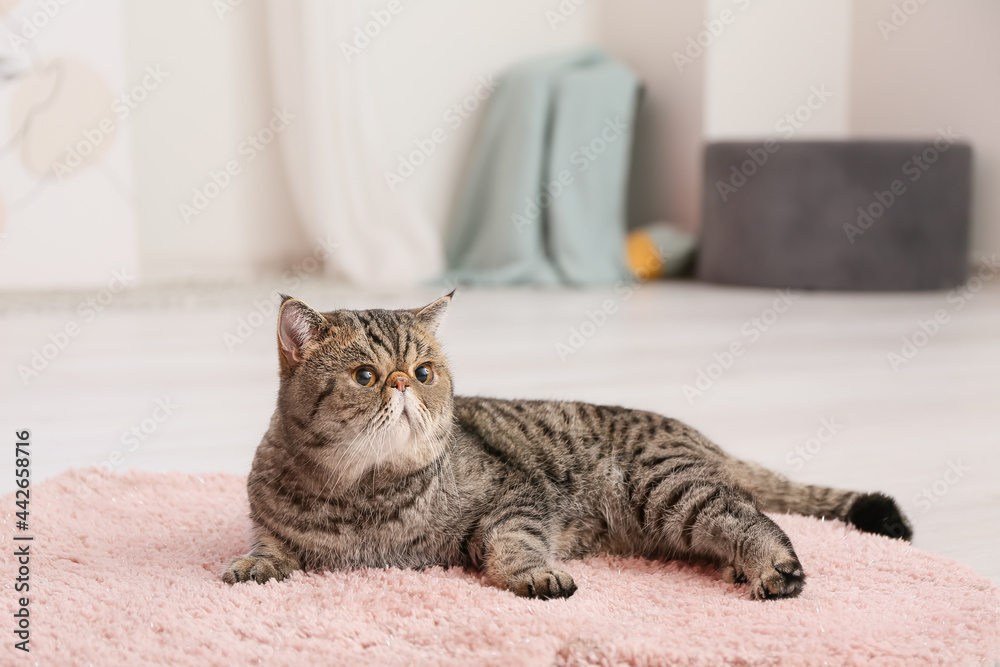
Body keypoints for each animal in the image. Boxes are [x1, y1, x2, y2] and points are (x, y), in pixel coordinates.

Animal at [223, 294, 912, 600]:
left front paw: (536, 573)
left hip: (670, 491)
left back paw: (770, 566)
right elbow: (269, 546)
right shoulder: (269, 520)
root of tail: (694, 434)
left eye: (423, 371)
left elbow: (515, 541)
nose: (401, 383)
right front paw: (255, 566)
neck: (364, 495)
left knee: (752, 516)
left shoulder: (516, 497)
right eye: (366, 375)